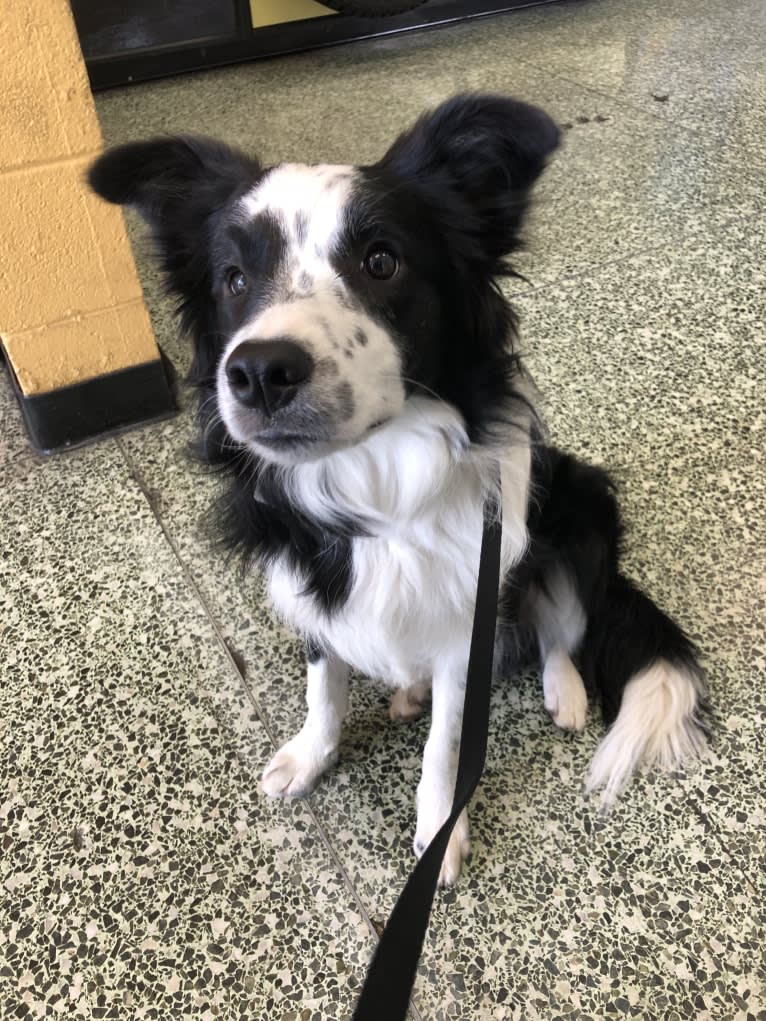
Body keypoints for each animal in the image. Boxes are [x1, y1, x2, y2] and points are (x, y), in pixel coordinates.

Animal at [92, 91, 710, 882]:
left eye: (381, 261)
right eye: (233, 279)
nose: (258, 371)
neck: (377, 486)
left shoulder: (468, 623)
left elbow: (447, 744)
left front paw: (439, 832)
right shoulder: (316, 586)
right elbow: (323, 686)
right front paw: (309, 757)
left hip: (581, 506)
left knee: (560, 628)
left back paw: (564, 691)